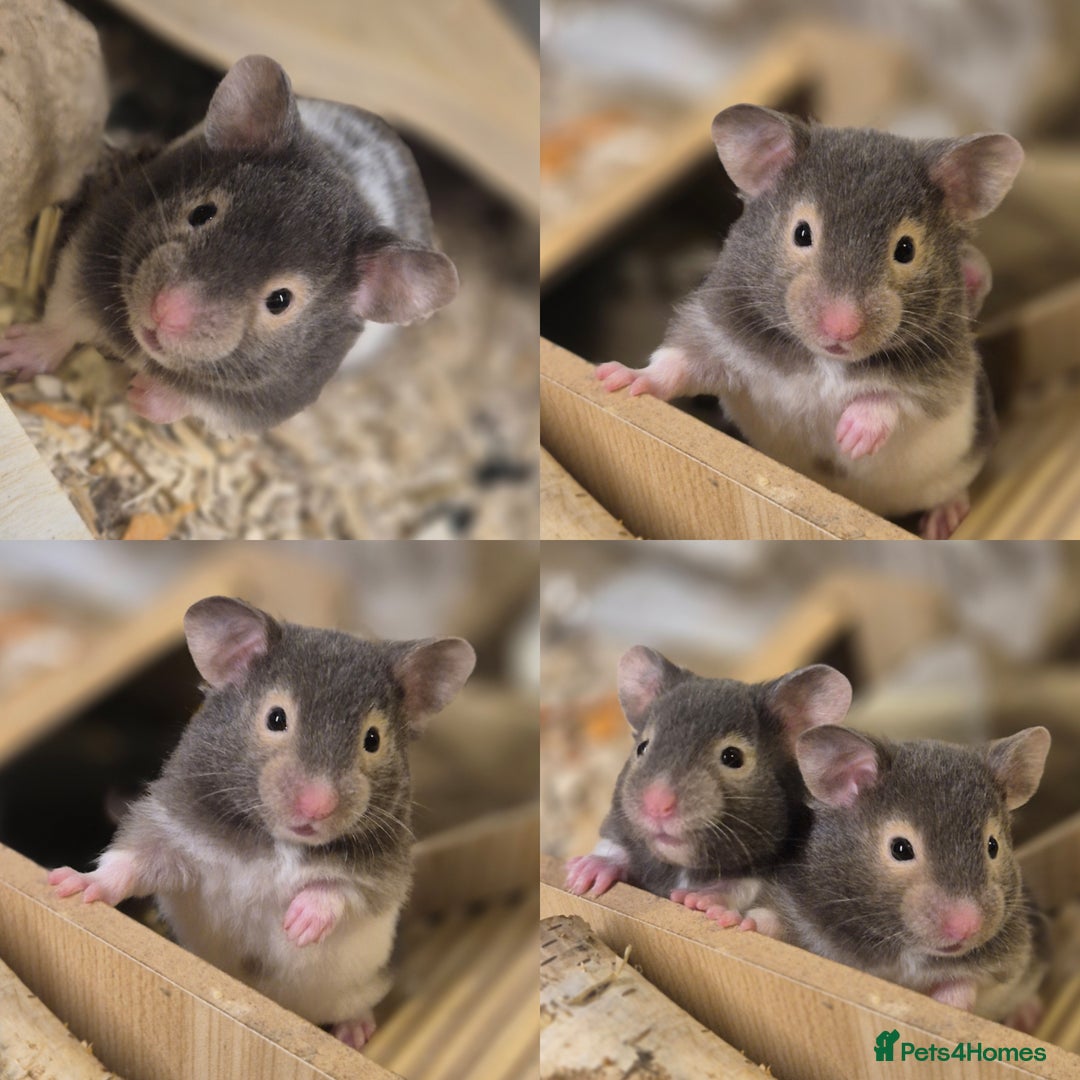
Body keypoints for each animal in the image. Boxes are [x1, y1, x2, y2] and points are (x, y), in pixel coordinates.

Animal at [0, 55, 458, 433]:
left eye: (280, 301)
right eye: (202, 213)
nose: (165, 311)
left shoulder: (261, 403)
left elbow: (194, 403)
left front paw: (139, 394)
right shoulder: (88, 255)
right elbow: (61, 320)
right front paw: (11, 352)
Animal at [48, 596, 476, 1050]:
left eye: (373, 740)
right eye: (276, 718)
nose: (316, 806)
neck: (278, 841)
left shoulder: (384, 879)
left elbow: (338, 889)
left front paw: (297, 927)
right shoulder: (171, 829)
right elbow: (131, 862)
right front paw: (68, 885)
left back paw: (353, 1034)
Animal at [565, 646, 852, 899]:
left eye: (733, 757)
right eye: (642, 747)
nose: (656, 805)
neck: (682, 868)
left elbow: (740, 887)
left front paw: (700, 900)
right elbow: (615, 849)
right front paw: (580, 875)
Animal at [596, 105, 1023, 539]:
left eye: (905, 249)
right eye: (802, 233)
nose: (840, 329)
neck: (826, 360)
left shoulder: (944, 382)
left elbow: (891, 399)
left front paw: (849, 439)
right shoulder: (716, 332)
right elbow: (678, 364)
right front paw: (614, 380)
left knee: (951, 489)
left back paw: (941, 523)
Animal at [706, 725, 1051, 1027]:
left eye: (993, 846)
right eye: (900, 848)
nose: (966, 927)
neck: (901, 945)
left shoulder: (1008, 962)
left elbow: (967, 984)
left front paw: (943, 1006)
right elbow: (772, 921)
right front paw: (728, 919)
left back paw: (1027, 1016)